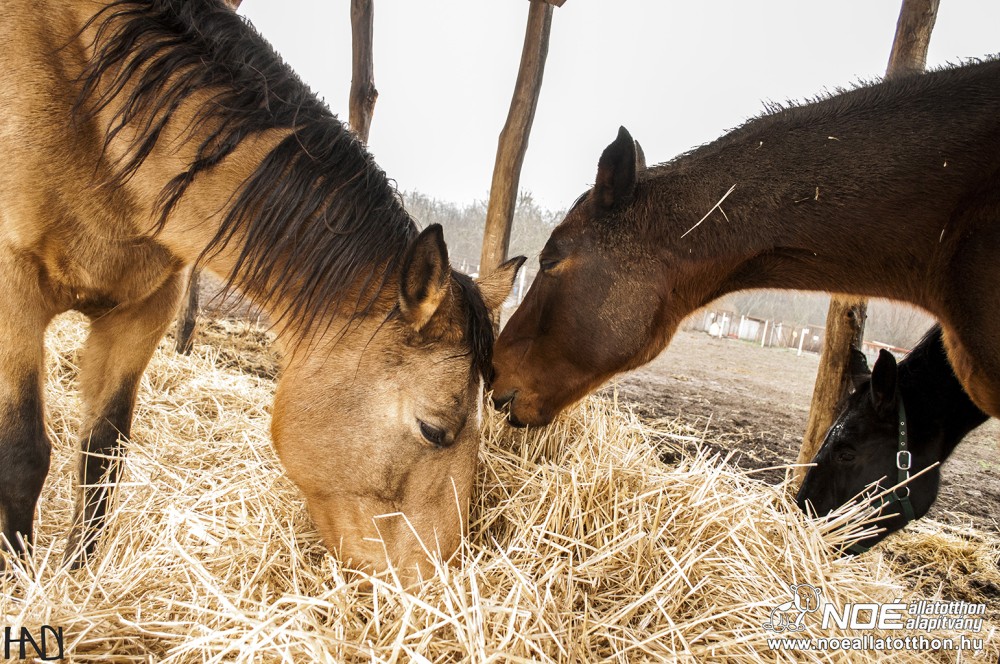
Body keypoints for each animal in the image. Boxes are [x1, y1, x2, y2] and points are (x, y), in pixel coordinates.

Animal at [3, 0, 524, 580]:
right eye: (434, 430)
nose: (431, 583)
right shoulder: (12, 288)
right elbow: (22, 456)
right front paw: (22, 579)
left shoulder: (143, 310)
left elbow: (102, 454)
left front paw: (79, 573)